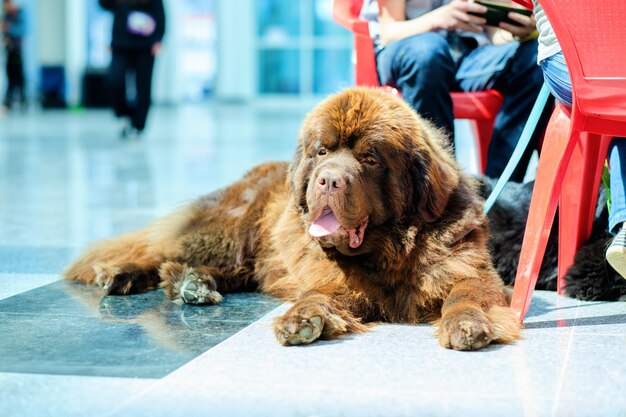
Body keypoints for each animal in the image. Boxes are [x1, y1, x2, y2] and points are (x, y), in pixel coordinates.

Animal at [66, 87, 520, 348]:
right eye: (322, 151)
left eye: (370, 157)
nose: (328, 180)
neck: (385, 253)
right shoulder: (331, 280)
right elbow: (316, 295)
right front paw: (302, 320)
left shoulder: (470, 273)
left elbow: (466, 294)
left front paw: (468, 323)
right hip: (230, 231)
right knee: (158, 250)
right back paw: (121, 273)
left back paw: (195, 285)